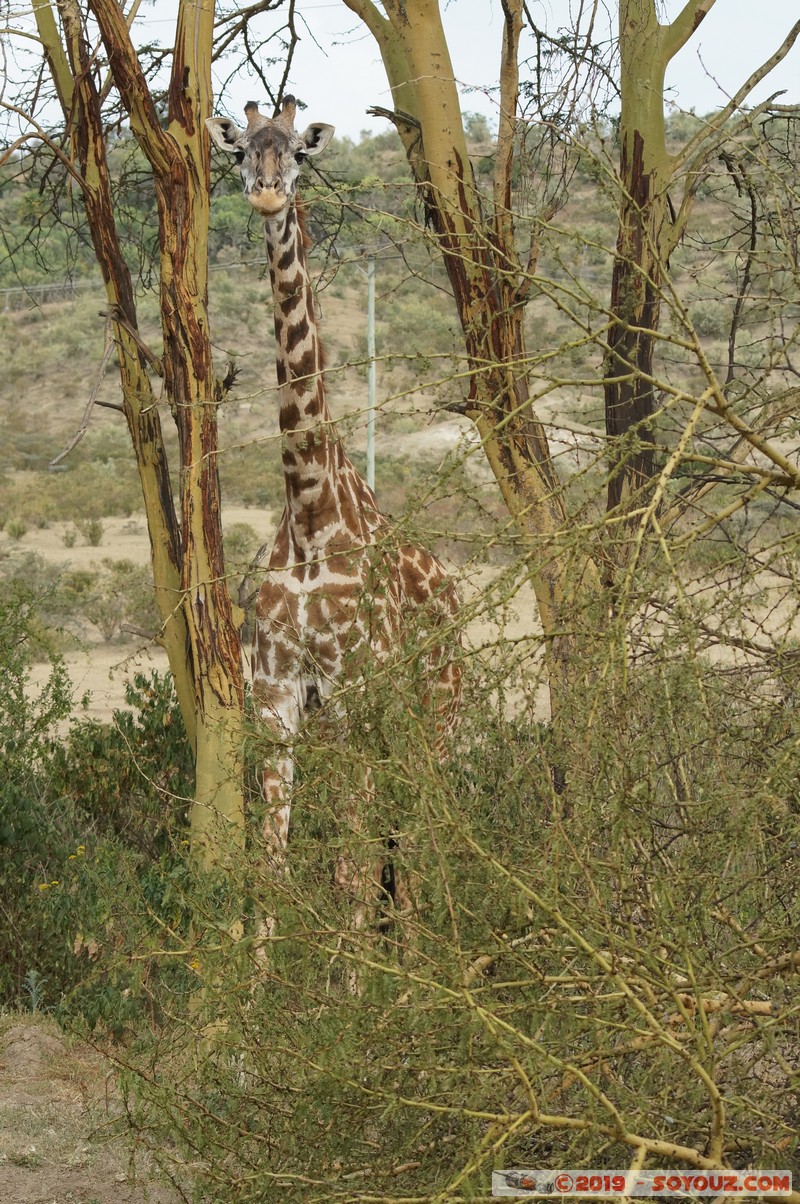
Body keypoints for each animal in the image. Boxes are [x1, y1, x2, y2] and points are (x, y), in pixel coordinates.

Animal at [206, 96, 460, 939]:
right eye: (241, 151)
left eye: (297, 153)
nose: (266, 193)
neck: (311, 505)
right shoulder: (280, 701)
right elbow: (272, 872)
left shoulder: (351, 697)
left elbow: (348, 876)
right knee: (396, 845)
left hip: (434, 711)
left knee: (424, 839)